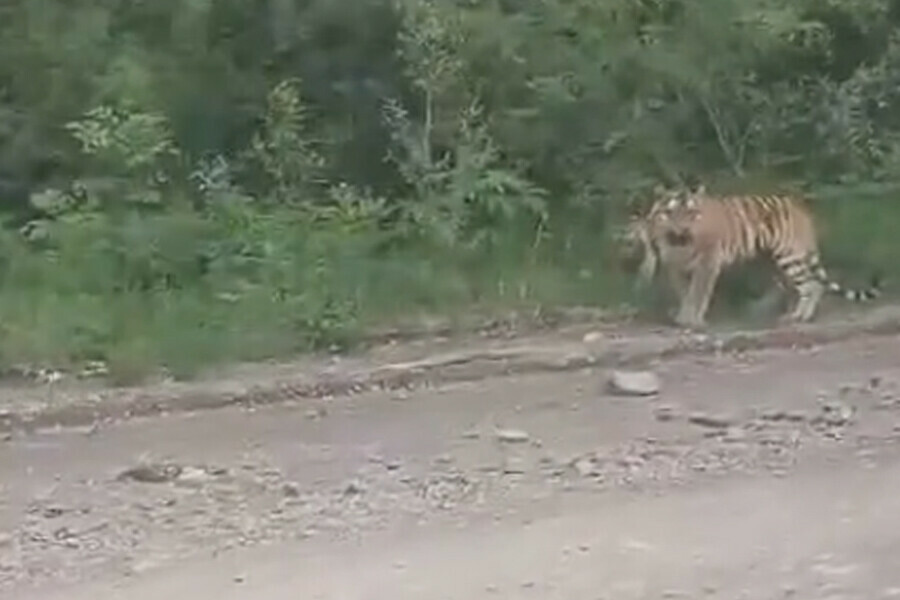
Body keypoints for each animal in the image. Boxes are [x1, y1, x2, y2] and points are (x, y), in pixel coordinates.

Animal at [620, 185, 880, 330]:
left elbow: (698, 293)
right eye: (671, 212)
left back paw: (799, 317)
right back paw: (793, 314)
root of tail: (801, 208)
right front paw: (683, 318)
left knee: (811, 285)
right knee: (807, 285)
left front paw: (692, 321)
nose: (683, 230)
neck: (679, 243)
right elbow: (685, 293)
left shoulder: (707, 263)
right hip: (776, 261)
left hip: (790, 257)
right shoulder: (674, 266)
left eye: (692, 213)